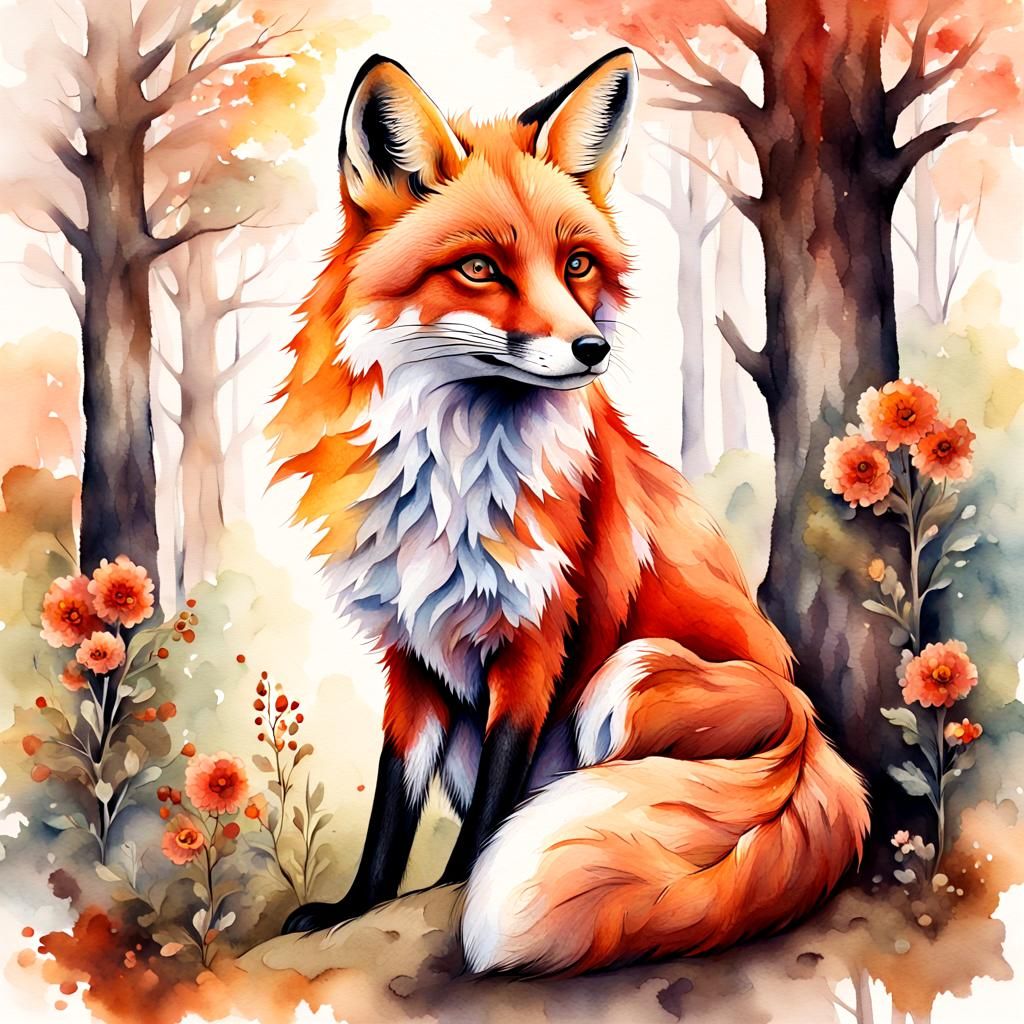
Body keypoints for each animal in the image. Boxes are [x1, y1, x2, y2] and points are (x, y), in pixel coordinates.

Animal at [269, 48, 871, 976]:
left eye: (577, 265)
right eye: (480, 269)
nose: (594, 349)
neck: (453, 482)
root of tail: (814, 738)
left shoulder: (538, 640)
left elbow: (491, 813)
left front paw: (455, 892)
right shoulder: (411, 654)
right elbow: (391, 811)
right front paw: (354, 907)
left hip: (628, 678)